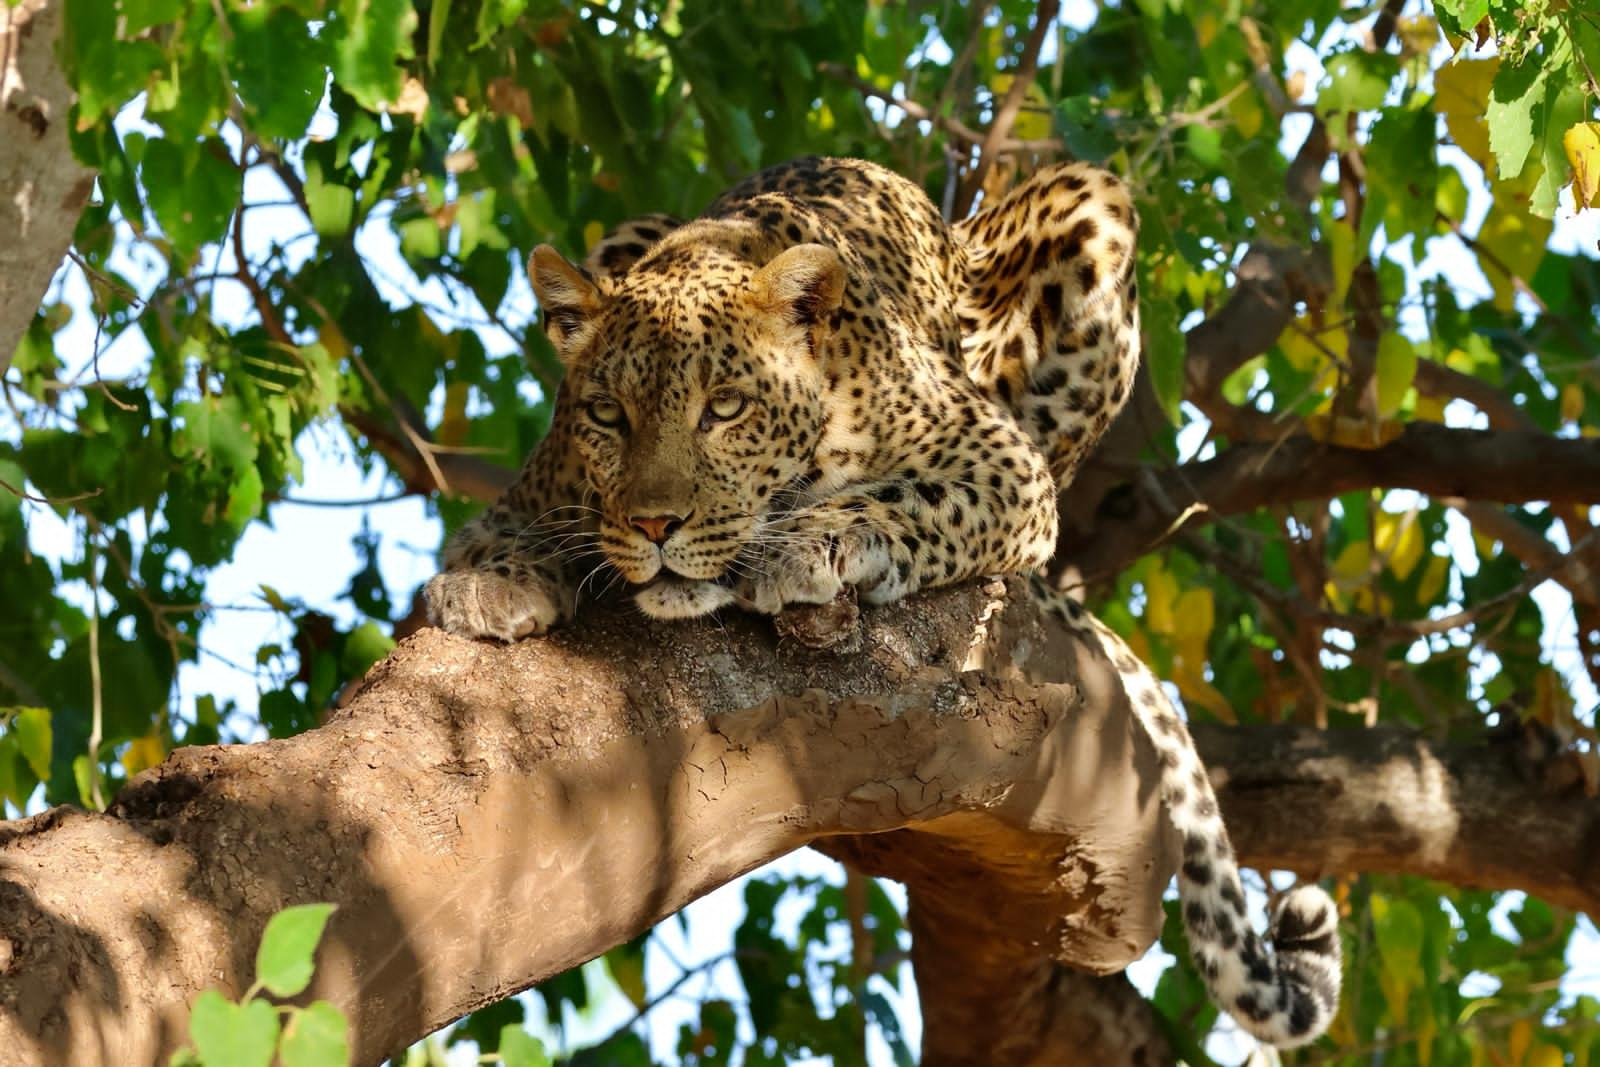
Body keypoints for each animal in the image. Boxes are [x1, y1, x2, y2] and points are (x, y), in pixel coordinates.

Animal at [422, 154, 1337, 1049]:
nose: (655, 523)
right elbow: (518, 534)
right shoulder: (521, 498)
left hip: (1091, 203)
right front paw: (500, 581)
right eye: (608, 414)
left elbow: (911, 500)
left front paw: (804, 545)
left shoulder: (1004, 468)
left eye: (726, 408)